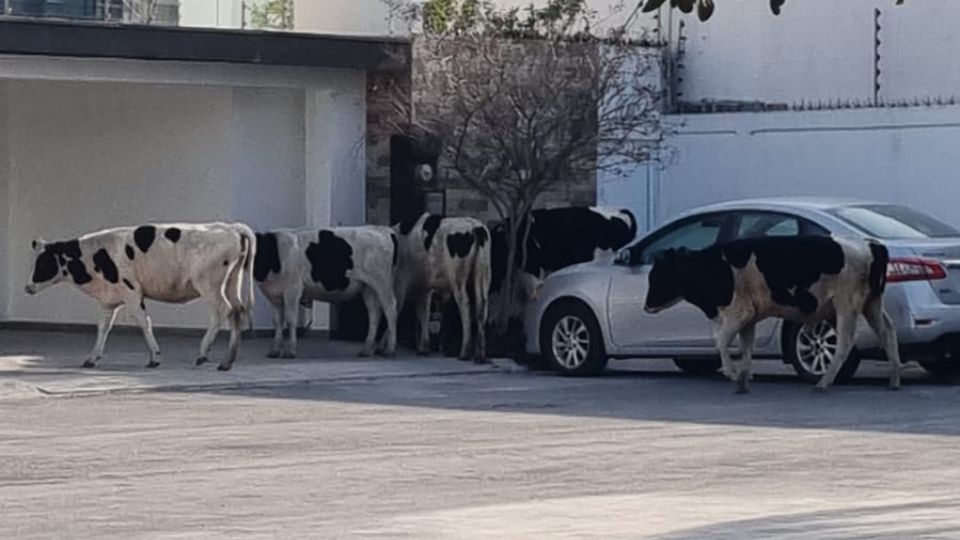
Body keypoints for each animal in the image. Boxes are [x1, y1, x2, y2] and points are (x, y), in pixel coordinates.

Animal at [25, 224, 256, 372]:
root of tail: (230, 228)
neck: (95, 254)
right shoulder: (109, 300)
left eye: (43, 262)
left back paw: (203, 353)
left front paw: (154, 357)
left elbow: (144, 323)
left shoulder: (132, 292)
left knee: (223, 310)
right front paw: (92, 358)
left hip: (209, 285)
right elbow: (103, 328)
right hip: (232, 282)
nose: (27, 287)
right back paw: (226, 361)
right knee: (237, 311)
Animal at [255, 227, 398, 358]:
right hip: (368, 287)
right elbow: (277, 322)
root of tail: (384, 230)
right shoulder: (274, 295)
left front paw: (290, 351)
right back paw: (366, 350)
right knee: (374, 313)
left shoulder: (293, 289)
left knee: (390, 309)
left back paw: (389, 349)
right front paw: (274, 351)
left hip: (382, 282)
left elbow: (290, 320)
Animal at [394, 213, 492, 360]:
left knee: (465, 305)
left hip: (458, 278)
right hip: (483, 275)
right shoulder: (430, 288)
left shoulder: (412, 285)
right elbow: (429, 312)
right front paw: (429, 347)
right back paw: (480, 354)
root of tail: (476, 227)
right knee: (482, 305)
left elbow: (416, 310)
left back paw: (465, 352)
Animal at [644, 235, 900, 392]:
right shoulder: (749, 317)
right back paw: (894, 380)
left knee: (846, 342)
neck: (716, 267)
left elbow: (722, 342)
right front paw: (743, 380)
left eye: (657, 276)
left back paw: (824, 383)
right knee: (887, 331)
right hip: (871, 304)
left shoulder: (738, 312)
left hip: (847, 305)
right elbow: (746, 347)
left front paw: (731, 373)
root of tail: (871, 244)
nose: (645, 306)